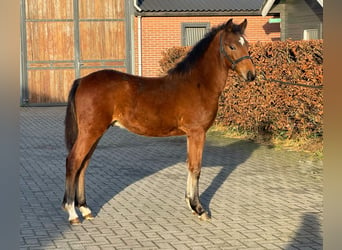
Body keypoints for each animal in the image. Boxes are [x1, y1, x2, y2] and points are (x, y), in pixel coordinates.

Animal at [62, 18, 255, 225]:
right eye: (232, 46)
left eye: (247, 45)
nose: (251, 75)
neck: (199, 84)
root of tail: (81, 80)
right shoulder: (198, 133)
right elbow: (196, 168)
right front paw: (199, 209)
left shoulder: (191, 135)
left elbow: (190, 166)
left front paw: (191, 204)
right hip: (91, 132)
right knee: (73, 161)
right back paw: (72, 213)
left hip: (96, 133)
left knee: (83, 165)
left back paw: (85, 209)